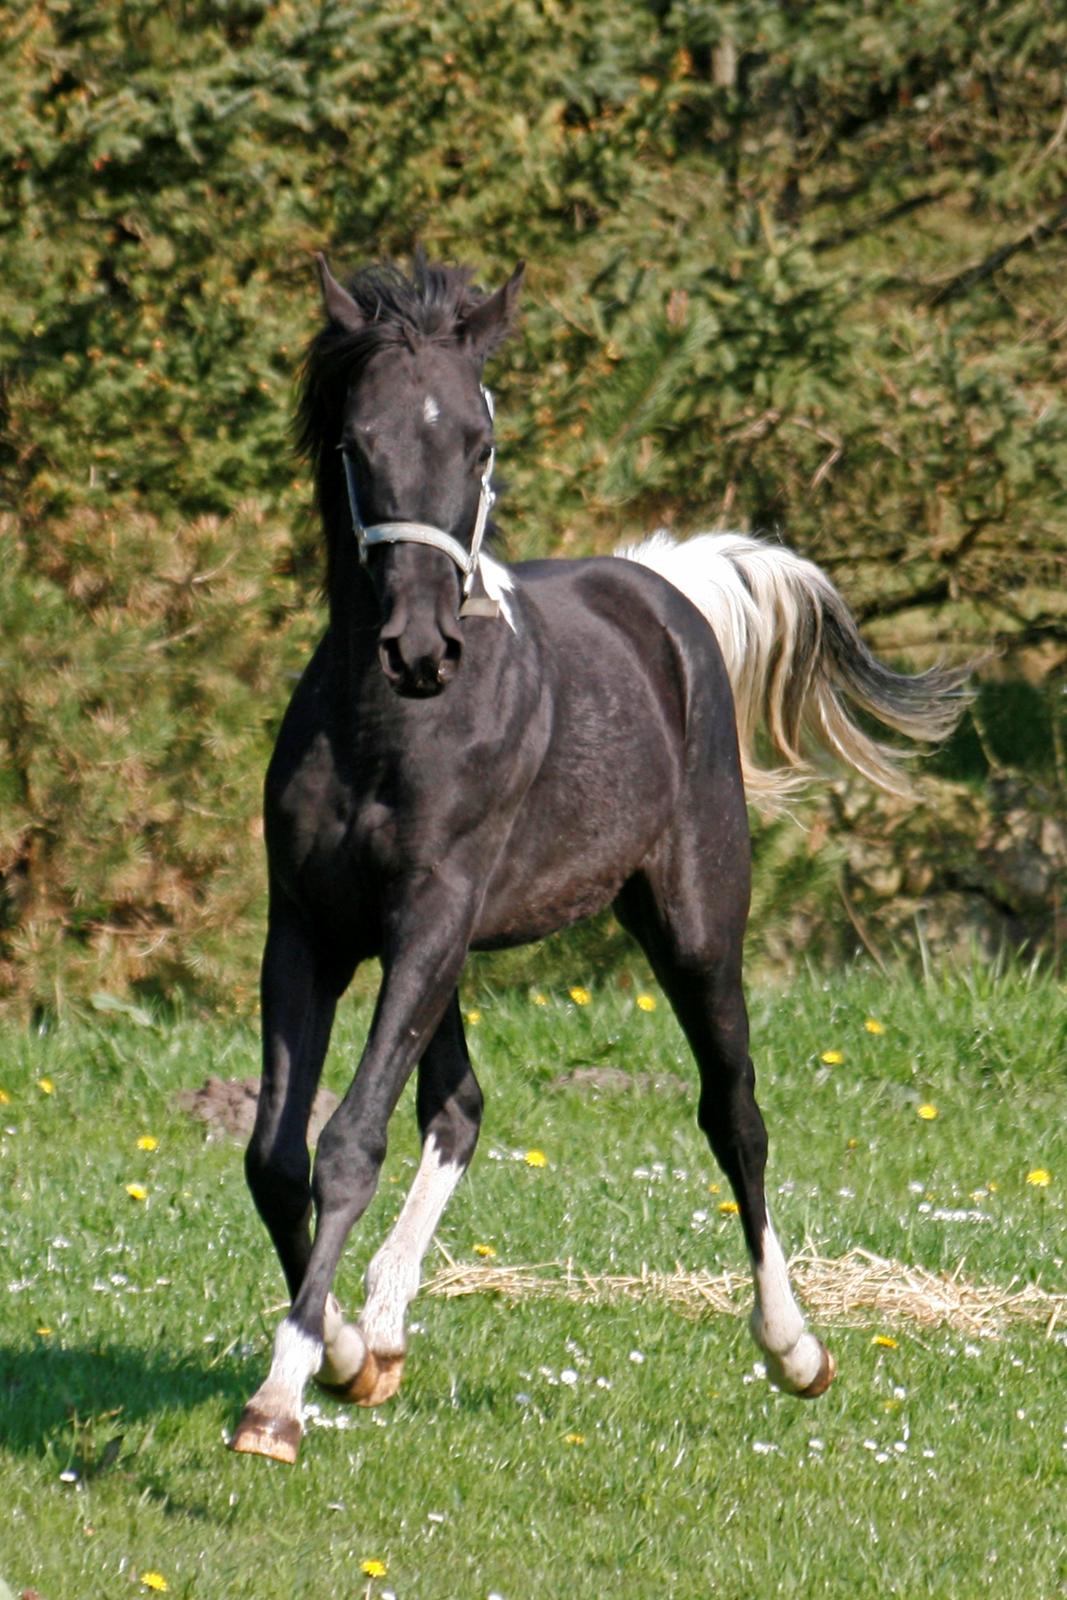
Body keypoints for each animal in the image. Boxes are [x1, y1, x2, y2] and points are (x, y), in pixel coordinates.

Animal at [231, 252, 966, 1465]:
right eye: (357, 439)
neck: (386, 733)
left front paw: (280, 1399)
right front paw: (339, 1355)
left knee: (733, 1115)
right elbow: (278, 1156)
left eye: (480, 441)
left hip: (691, 925)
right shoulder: (312, 931)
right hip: (452, 956)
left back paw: (795, 1348)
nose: (421, 647)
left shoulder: (427, 921)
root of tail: (657, 591)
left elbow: (345, 1144)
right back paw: (382, 1334)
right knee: (460, 1107)